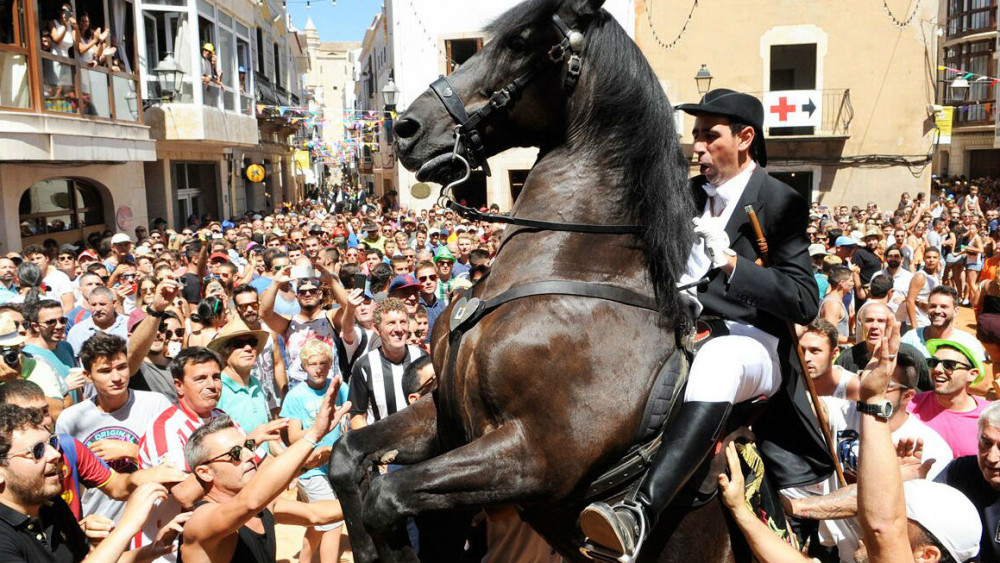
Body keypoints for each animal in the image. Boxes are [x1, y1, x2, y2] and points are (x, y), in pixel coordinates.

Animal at [326, 2, 736, 560]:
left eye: (519, 42)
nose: (406, 128)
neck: (566, 266)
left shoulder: (535, 456)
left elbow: (386, 496)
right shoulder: (448, 421)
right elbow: (347, 456)